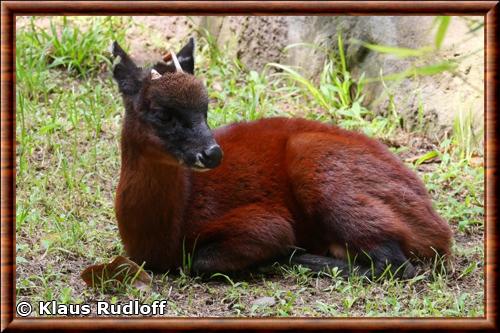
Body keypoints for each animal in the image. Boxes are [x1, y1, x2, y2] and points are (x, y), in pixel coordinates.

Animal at [111, 38, 452, 278]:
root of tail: (436, 226)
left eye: (205, 110)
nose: (212, 152)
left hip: (317, 164)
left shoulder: (266, 222)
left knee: (396, 264)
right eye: (161, 114)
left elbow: (201, 261)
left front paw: (276, 257)